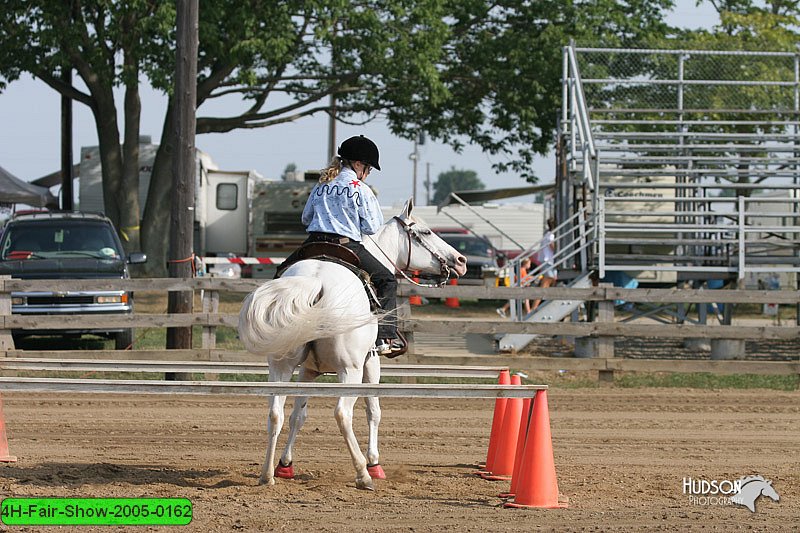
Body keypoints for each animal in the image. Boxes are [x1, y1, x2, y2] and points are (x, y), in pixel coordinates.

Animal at [238, 197, 468, 488]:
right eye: (425, 232)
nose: (460, 260)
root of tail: (316, 281)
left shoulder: (307, 371)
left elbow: (298, 415)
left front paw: (285, 465)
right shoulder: (371, 363)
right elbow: (374, 410)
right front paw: (375, 463)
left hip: (282, 366)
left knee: (275, 414)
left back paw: (267, 474)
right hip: (350, 370)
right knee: (342, 414)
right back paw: (363, 474)